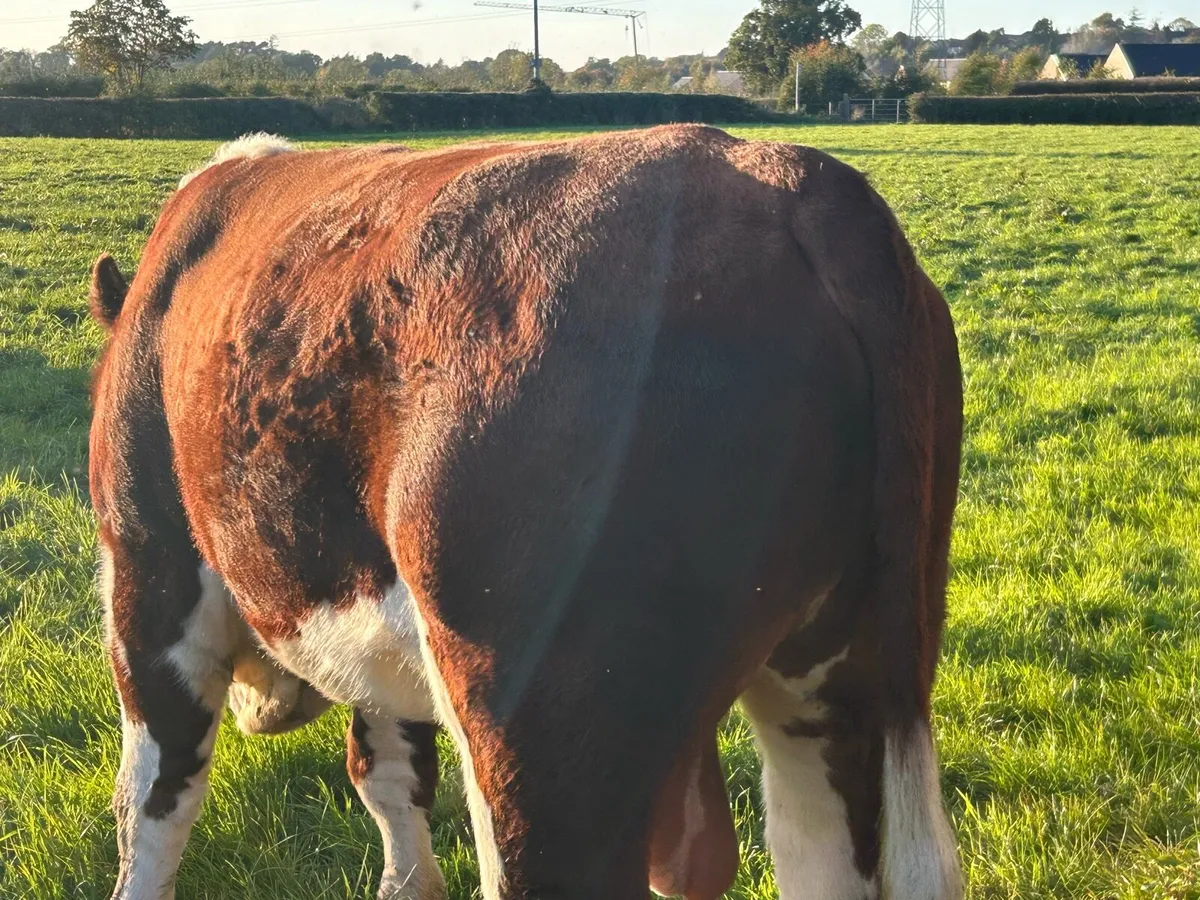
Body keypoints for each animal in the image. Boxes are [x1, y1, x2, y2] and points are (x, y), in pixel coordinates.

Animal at [88, 125, 964, 900]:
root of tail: (798, 178)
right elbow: (390, 774)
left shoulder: (147, 566)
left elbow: (154, 795)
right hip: (846, 684)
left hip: (537, 737)